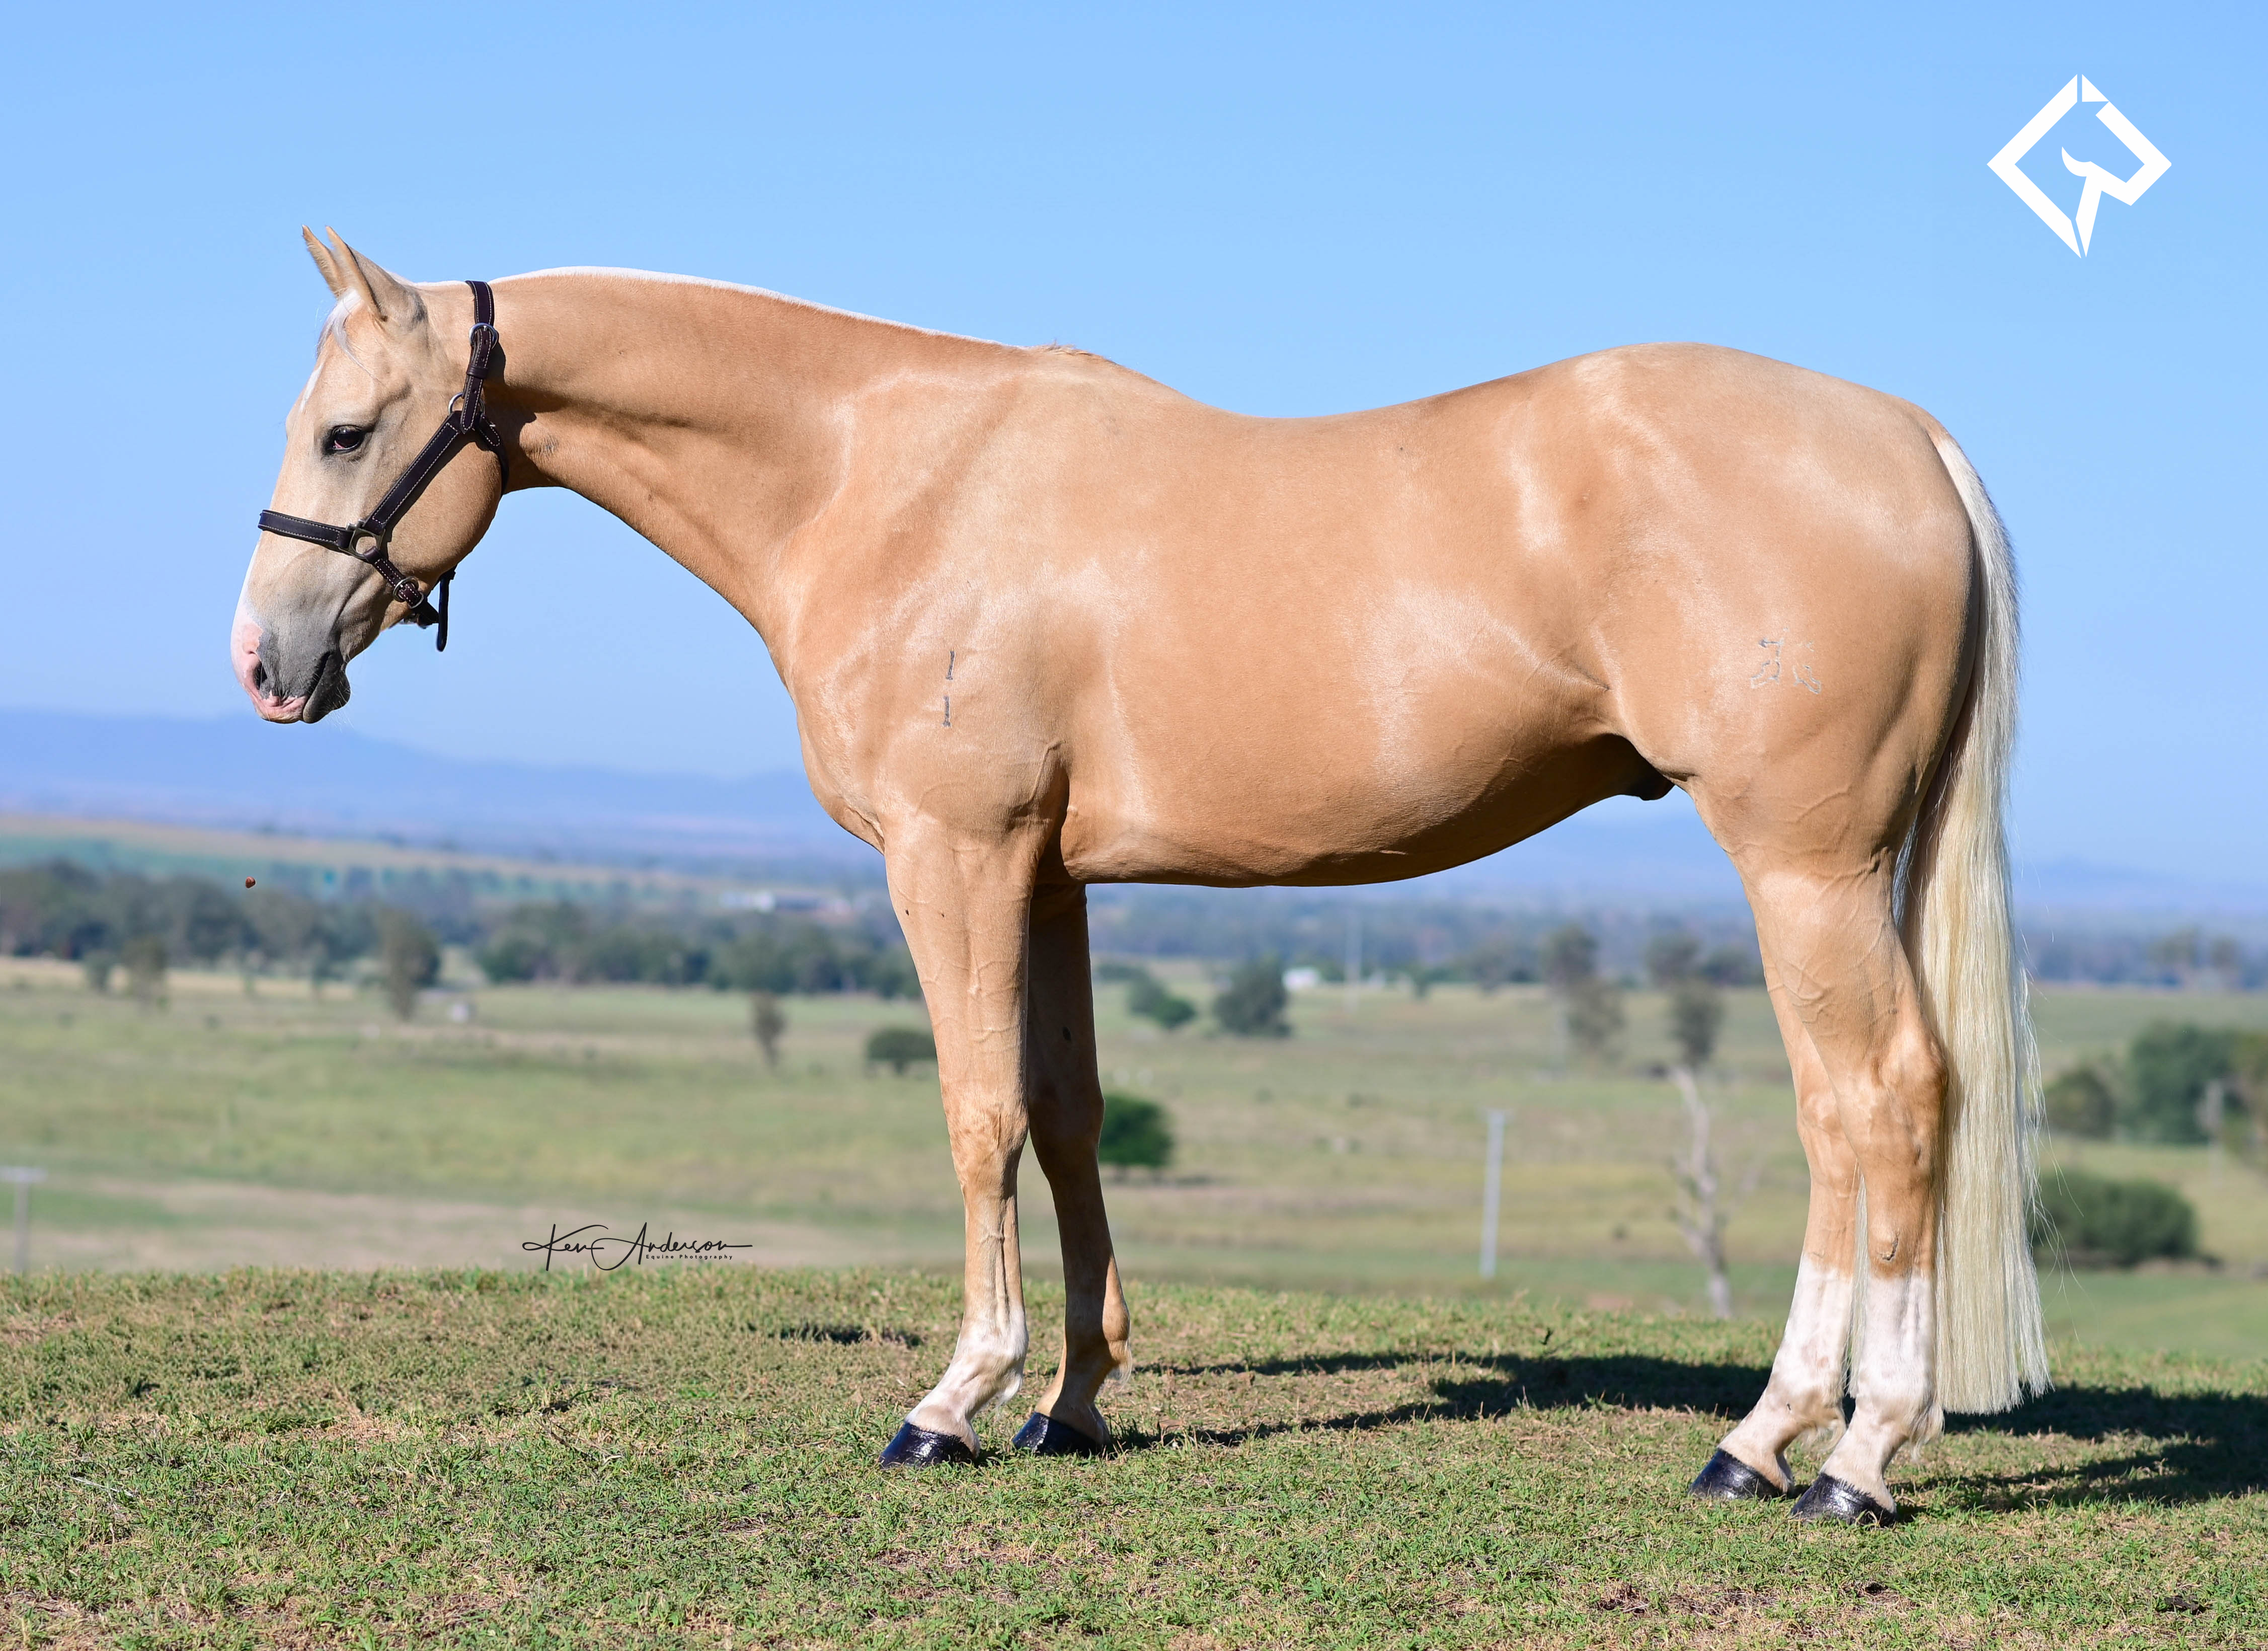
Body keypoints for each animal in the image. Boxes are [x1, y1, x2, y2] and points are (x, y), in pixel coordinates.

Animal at [234, 230, 2047, 1523]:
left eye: (346, 431)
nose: (265, 664)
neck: (883, 482)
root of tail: (1907, 439)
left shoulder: (955, 860)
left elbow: (975, 1114)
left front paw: (953, 1401)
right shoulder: (1049, 881)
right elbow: (1067, 1115)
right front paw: (1076, 1403)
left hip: (1803, 866)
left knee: (1871, 1102)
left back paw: (1829, 1455)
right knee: (1873, 1111)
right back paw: (1786, 1442)